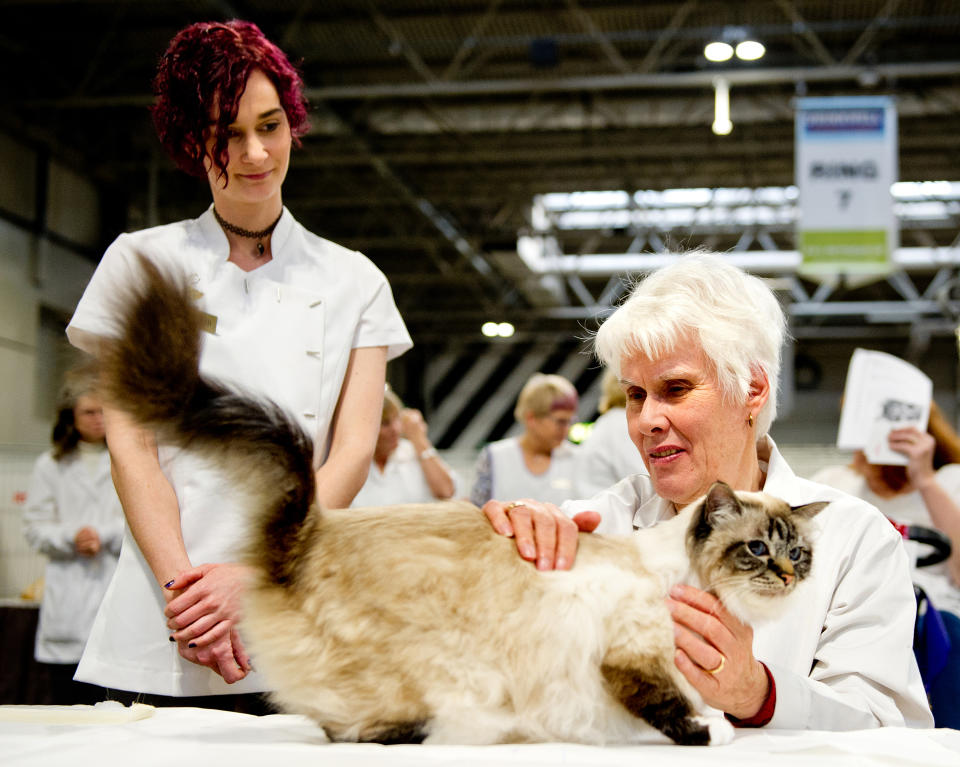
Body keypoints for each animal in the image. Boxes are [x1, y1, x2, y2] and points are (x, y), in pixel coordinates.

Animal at [101, 260, 828, 748]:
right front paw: (713, 729)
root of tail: (308, 531)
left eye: (798, 552)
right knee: (350, 730)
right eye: (757, 549)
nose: (788, 574)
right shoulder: (630, 656)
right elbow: (675, 708)